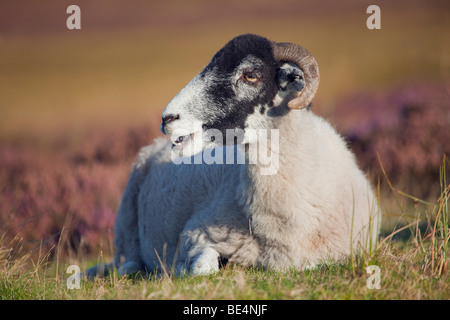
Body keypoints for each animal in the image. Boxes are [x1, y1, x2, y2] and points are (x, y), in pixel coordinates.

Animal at [86, 34, 382, 278]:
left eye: (250, 75)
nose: (168, 118)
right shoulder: (195, 235)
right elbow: (203, 268)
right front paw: (180, 270)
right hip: (125, 229)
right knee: (126, 263)